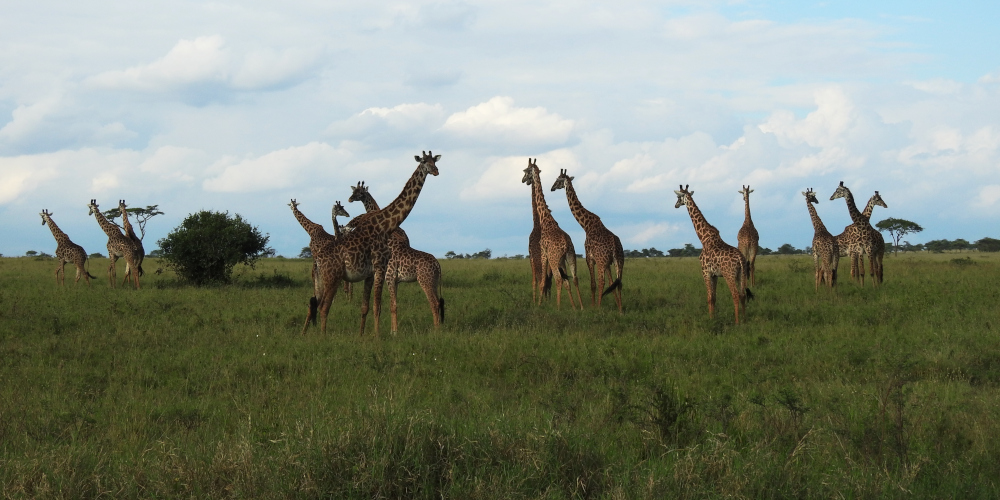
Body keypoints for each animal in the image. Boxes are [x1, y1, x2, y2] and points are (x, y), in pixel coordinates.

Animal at [296, 149, 438, 336]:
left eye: (435, 161)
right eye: (423, 162)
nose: (436, 171)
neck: (385, 226)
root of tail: (318, 261)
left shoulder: (370, 273)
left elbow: (366, 307)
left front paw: (361, 335)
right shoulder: (380, 267)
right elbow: (378, 306)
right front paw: (378, 336)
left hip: (320, 280)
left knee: (314, 304)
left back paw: (304, 334)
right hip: (332, 278)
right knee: (323, 307)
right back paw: (322, 336)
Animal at [350, 183, 448, 332]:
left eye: (359, 192)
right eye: (353, 191)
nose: (350, 199)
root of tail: (438, 264)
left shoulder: (390, 277)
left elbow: (392, 305)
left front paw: (394, 332)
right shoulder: (395, 280)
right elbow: (393, 305)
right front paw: (393, 330)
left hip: (425, 281)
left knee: (434, 302)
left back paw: (436, 331)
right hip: (434, 282)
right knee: (439, 302)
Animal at [520, 159, 584, 308]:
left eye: (526, 170)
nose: (523, 180)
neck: (545, 219)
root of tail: (566, 245)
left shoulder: (543, 253)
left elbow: (543, 281)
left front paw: (539, 305)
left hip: (554, 260)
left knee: (557, 280)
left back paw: (558, 307)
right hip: (570, 257)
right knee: (574, 278)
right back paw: (579, 307)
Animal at [548, 168, 624, 312]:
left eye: (558, 180)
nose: (551, 188)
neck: (586, 225)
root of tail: (614, 247)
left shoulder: (590, 257)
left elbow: (593, 283)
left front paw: (593, 306)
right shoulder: (608, 262)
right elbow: (612, 282)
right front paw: (618, 306)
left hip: (601, 261)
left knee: (601, 282)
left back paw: (599, 308)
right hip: (619, 261)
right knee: (619, 282)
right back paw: (621, 311)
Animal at [672, 185, 752, 324]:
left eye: (678, 197)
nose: (676, 205)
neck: (704, 238)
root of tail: (740, 259)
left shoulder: (705, 271)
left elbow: (709, 297)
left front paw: (710, 320)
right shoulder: (715, 274)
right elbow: (714, 297)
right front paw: (713, 318)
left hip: (729, 274)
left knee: (736, 295)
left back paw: (737, 323)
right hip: (741, 274)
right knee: (743, 295)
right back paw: (744, 320)